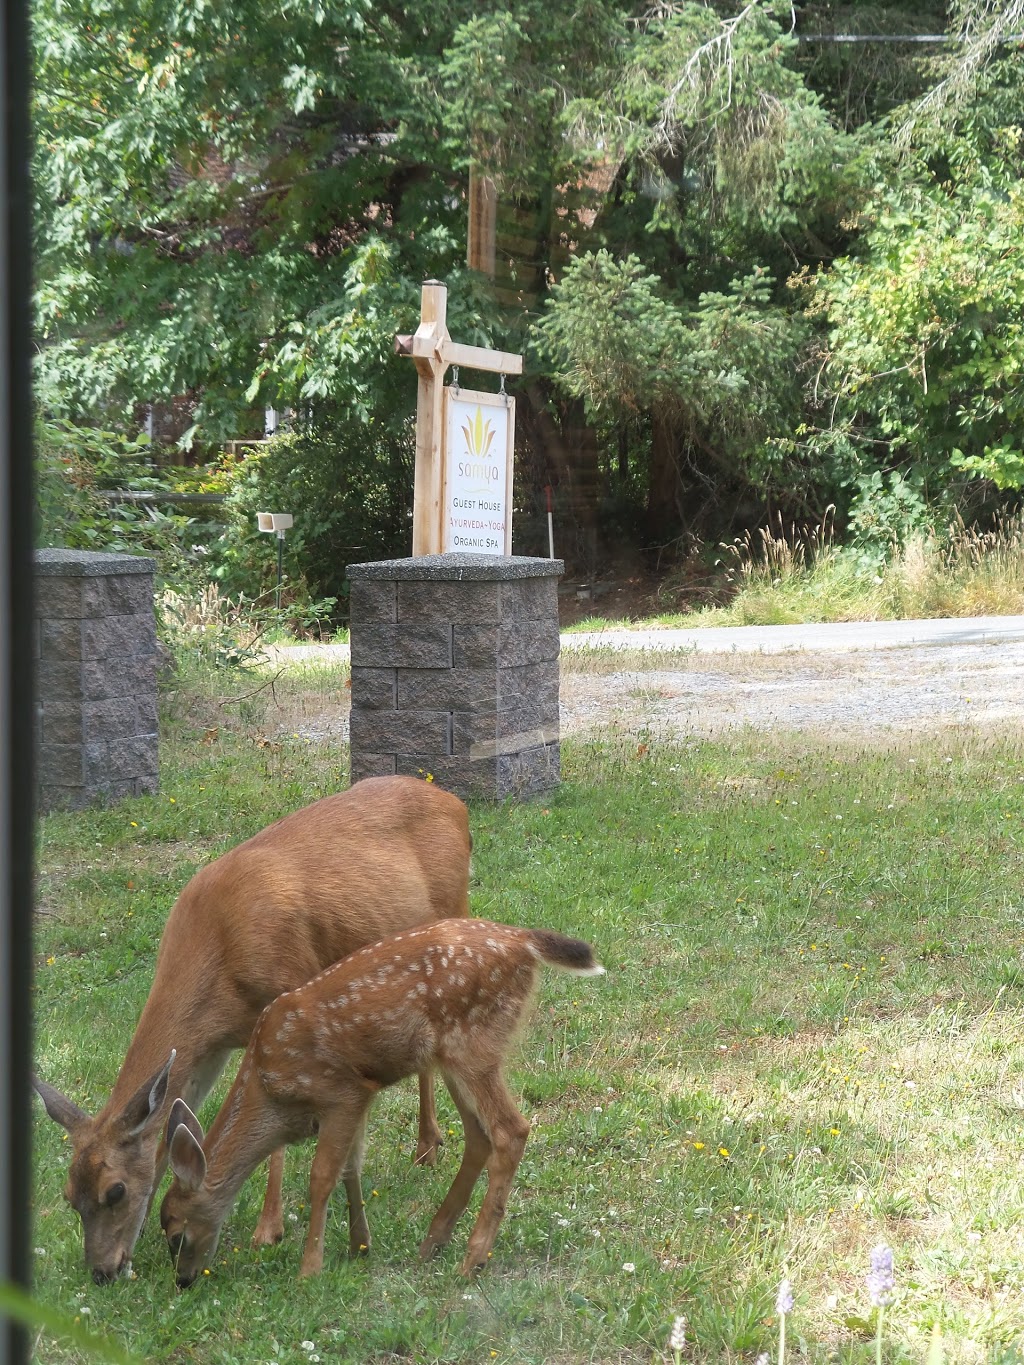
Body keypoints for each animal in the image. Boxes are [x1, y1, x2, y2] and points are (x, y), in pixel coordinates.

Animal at [32, 775, 472, 1283]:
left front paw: (269, 1228)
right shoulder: (212, 1047)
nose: (103, 1271)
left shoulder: (288, 995)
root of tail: (456, 805)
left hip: (452, 915)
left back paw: (427, 1146)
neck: (219, 954)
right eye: (69, 1196)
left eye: (115, 1190)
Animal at [162, 917, 600, 1277]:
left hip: (473, 1044)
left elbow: (322, 1176)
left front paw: (310, 1269)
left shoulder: (341, 1090)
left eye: (175, 1233)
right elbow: (351, 1167)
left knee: (512, 1130)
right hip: (455, 1056)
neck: (268, 1087)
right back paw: (433, 1241)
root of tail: (524, 940)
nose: (184, 1280)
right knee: (479, 1134)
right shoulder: (361, 1096)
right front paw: (360, 1245)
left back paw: (471, 1260)